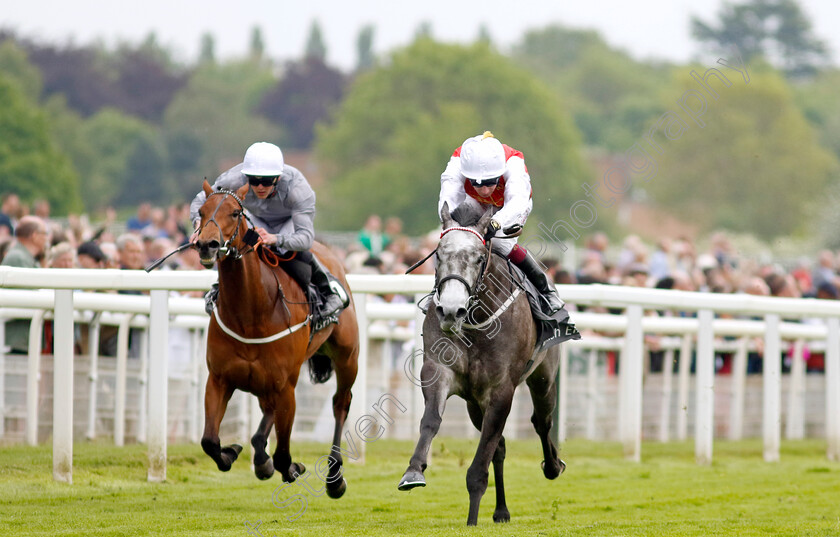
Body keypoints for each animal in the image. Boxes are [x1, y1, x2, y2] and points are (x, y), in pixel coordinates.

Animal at [194, 181, 358, 498]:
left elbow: (284, 455)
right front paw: (232, 452)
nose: (206, 244)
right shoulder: (219, 379)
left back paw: (334, 476)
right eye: (201, 212)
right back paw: (260, 458)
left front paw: (293, 468)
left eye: (235, 213)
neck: (250, 314)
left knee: (340, 403)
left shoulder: (287, 388)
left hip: (347, 357)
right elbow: (209, 441)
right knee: (265, 414)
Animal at [400, 203, 572, 524]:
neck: (475, 322)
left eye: (479, 257)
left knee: (542, 421)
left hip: (543, 379)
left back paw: (553, 466)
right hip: (474, 403)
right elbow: (431, 421)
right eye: (439, 254)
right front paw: (413, 471)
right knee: (500, 447)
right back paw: (501, 509)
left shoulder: (501, 391)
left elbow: (481, 462)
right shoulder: (439, 372)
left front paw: (471, 519)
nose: (451, 310)